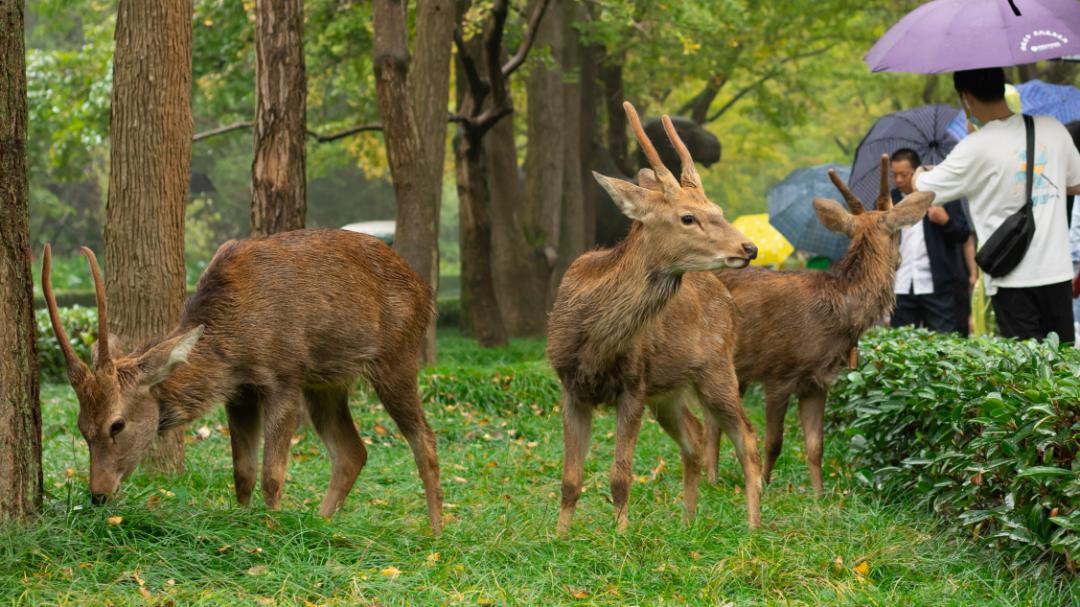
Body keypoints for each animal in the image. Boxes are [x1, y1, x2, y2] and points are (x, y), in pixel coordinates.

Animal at [42, 226, 444, 529]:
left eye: (117, 424)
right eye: (81, 427)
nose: (98, 493)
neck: (235, 341)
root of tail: (427, 294)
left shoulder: (285, 373)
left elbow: (272, 474)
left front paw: (271, 528)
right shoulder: (240, 390)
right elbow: (243, 472)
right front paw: (244, 522)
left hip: (396, 357)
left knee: (424, 437)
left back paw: (435, 531)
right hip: (327, 382)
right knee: (353, 452)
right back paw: (323, 523)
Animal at [548, 101, 760, 531]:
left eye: (718, 210)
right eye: (687, 217)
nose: (749, 247)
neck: (594, 341)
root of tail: (727, 298)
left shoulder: (634, 382)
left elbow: (620, 476)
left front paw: (620, 536)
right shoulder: (570, 386)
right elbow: (570, 479)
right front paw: (559, 538)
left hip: (717, 368)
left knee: (747, 436)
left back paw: (752, 526)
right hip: (669, 391)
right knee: (695, 436)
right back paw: (687, 523)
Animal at [708, 154, 937, 492]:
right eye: (898, 233)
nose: (900, 260)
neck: (839, 311)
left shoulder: (817, 380)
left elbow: (816, 445)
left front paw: (818, 495)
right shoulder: (778, 371)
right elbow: (774, 442)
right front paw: (763, 484)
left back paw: (711, 476)